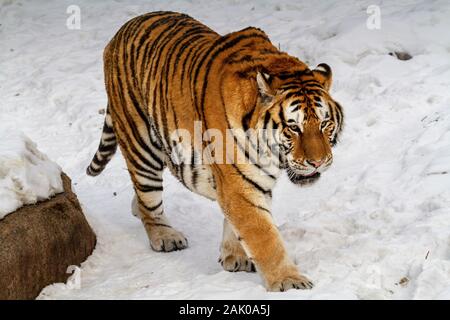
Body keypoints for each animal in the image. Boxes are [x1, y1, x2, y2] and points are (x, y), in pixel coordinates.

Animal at [86, 11, 342, 292]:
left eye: (324, 123)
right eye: (293, 127)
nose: (318, 162)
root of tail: (122, 30)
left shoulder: (246, 183)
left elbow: (236, 222)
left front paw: (234, 255)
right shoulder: (239, 185)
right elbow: (265, 237)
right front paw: (289, 281)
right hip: (141, 145)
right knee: (148, 200)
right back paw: (165, 236)